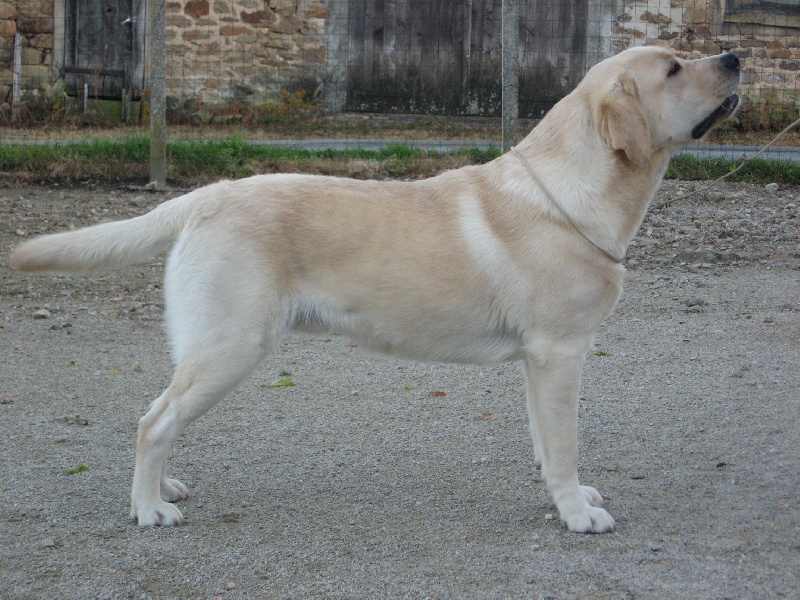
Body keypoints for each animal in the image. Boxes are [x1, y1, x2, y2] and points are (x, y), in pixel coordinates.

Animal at [10, 48, 736, 536]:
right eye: (674, 69)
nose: (732, 57)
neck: (568, 196)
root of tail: (204, 196)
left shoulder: (538, 362)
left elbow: (545, 442)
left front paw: (571, 497)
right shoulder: (559, 352)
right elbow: (564, 445)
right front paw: (577, 513)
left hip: (210, 350)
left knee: (162, 420)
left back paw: (165, 489)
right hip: (229, 348)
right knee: (151, 422)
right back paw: (147, 508)